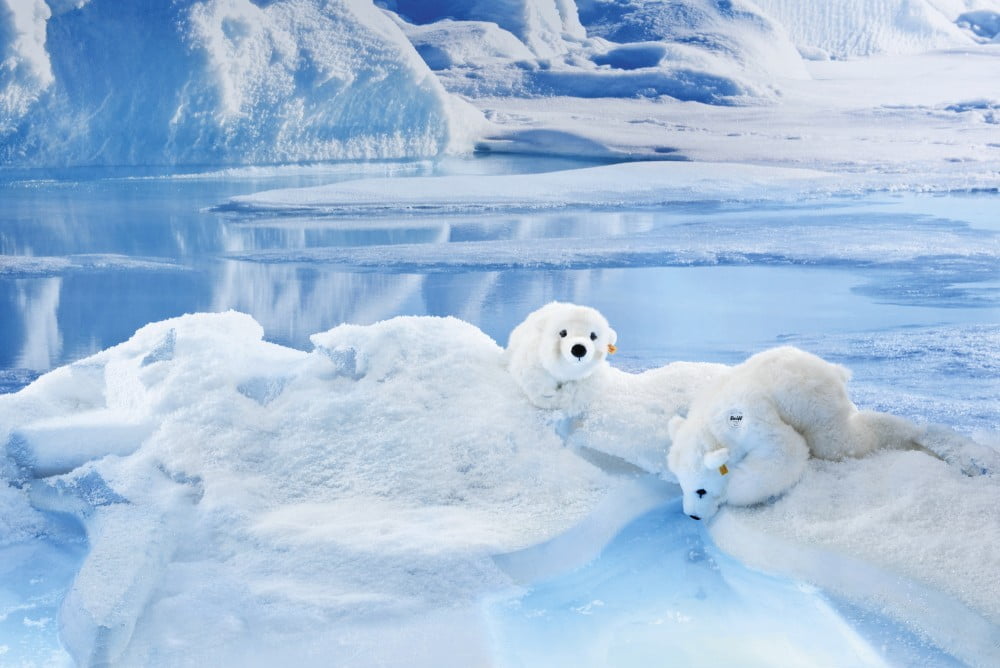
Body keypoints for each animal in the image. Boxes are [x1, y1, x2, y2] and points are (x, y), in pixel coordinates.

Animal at [666, 346, 931, 521]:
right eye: (681, 485)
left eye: (701, 491)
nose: (692, 516)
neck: (712, 425)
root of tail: (833, 369)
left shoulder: (754, 422)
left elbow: (785, 451)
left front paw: (734, 487)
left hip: (817, 405)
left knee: (841, 441)